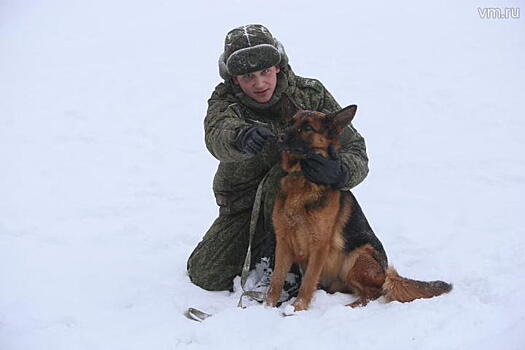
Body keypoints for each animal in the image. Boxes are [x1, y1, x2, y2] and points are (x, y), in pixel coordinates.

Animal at [266, 105, 450, 310]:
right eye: (291, 122)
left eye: (307, 128)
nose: (279, 137)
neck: (301, 178)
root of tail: (385, 272)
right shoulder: (283, 242)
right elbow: (276, 281)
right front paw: (267, 307)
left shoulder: (319, 246)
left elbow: (307, 283)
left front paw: (295, 309)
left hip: (357, 257)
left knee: (376, 291)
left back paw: (349, 307)